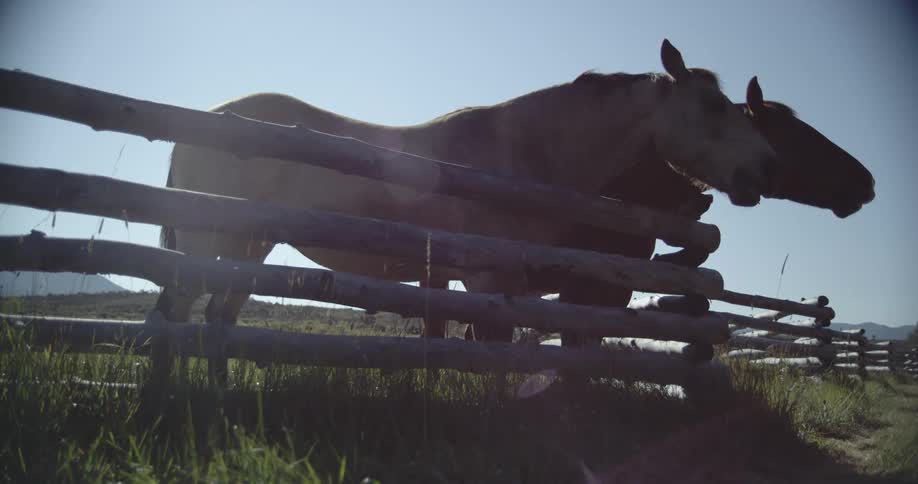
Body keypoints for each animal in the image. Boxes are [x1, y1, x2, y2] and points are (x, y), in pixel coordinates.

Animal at [154, 40, 778, 353]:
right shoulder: (486, 279)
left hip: (249, 247)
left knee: (215, 319)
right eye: (713, 107)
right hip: (209, 242)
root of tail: (207, 121)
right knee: (181, 314)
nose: (764, 171)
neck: (524, 155)